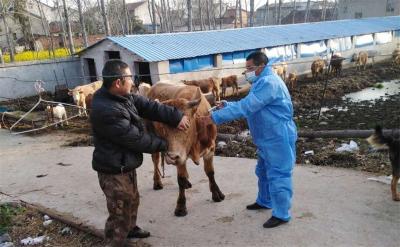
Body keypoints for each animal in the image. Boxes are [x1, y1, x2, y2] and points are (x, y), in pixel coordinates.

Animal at [146, 83, 223, 216]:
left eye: (186, 125)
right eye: (163, 128)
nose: (171, 157)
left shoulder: (210, 149)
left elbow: (210, 172)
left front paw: (216, 193)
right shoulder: (180, 156)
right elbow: (180, 179)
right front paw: (181, 206)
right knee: (155, 161)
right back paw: (157, 182)